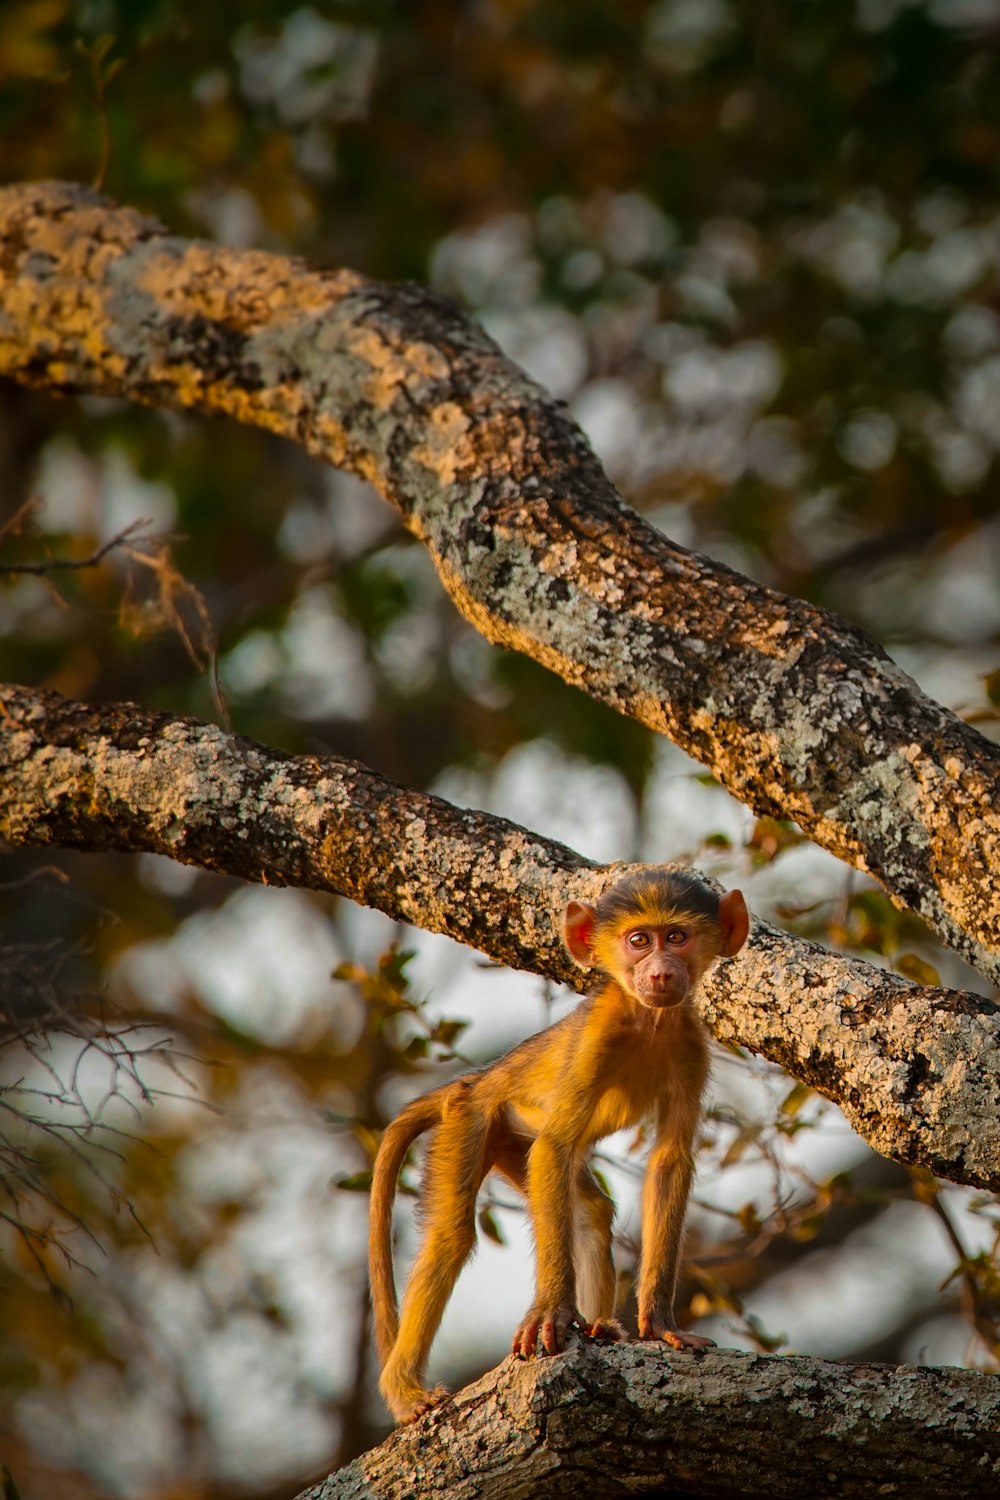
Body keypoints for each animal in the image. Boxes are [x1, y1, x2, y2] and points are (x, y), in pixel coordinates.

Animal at [370, 870, 749, 1416]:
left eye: (676, 937)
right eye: (639, 941)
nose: (660, 973)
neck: (647, 1020)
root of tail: (473, 1082)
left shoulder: (690, 1044)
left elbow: (669, 1162)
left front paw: (658, 1326)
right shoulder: (597, 1038)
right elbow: (556, 1145)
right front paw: (551, 1312)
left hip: (509, 1143)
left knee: (591, 1211)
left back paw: (599, 1325)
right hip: (470, 1121)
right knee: (451, 1236)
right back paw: (406, 1392)